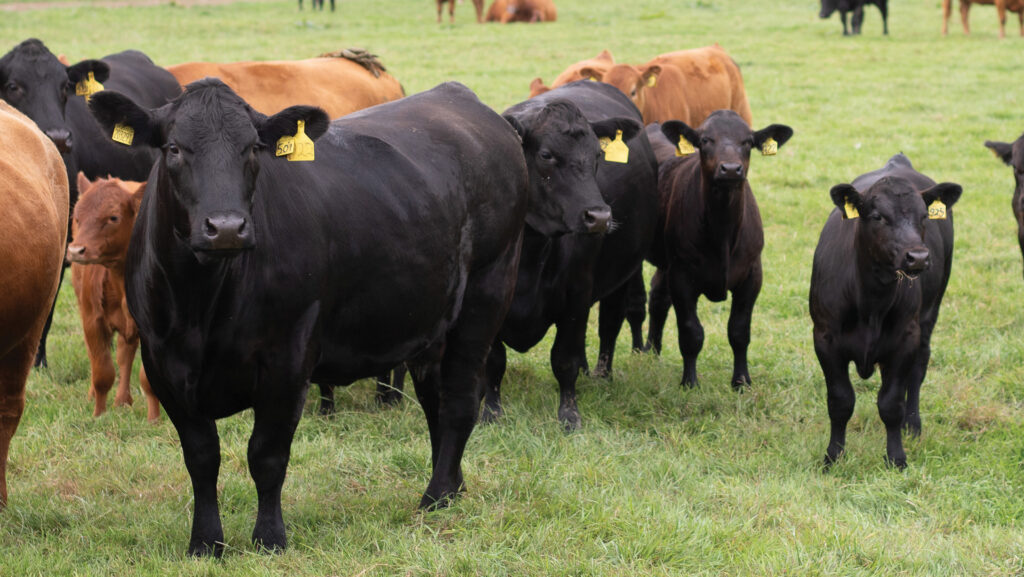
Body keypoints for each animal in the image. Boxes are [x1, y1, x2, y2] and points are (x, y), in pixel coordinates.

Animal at [66, 175, 159, 422]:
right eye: (77, 217)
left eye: (113, 217)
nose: (76, 250)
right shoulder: (92, 321)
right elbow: (103, 373)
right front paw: (98, 414)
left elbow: (147, 377)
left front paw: (154, 419)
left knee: (125, 355)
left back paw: (122, 400)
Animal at [87, 78, 609, 555]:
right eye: (174, 149)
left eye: (252, 148)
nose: (227, 228)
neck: (203, 305)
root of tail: (461, 97)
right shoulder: (164, 362)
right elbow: (201, 457)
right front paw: (206, 543)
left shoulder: (287, 357)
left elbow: (267, 454)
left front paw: (269, 538)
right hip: (431, 323)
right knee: (437, 403)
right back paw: (454, 484)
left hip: (486, 294)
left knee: (463, 398)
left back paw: (436, 496)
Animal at [486, 80, 659, 429]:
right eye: (546, 154)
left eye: (598, 155)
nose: (600, 217)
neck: (531, 254)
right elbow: (495, 360)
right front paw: (491, 411)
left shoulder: (577, 293)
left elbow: (563, 359)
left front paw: (569, 415)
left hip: (622, 273)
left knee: (610, 322)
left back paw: (601, 375)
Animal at [644, 111, 793, 391]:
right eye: (705, 140)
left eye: (748, 141)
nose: (731, 169)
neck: (722, 235)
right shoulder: (682, 275)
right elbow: (691, 332)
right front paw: (689, 382)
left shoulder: (752, 274)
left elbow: (739, 331)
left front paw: (742, 382)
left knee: (658, 295)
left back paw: (651, 352)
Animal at [810, 154, 961, 469]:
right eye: (878, 216)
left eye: (924, 216)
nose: (918, 257)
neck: (871, 302)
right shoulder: (824, 338)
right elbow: (840, 401)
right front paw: (833, 456)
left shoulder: (905, 339)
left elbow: (891, 403)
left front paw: (896, 457)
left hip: (929, 314)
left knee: (918, 370)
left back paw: (912, 426)